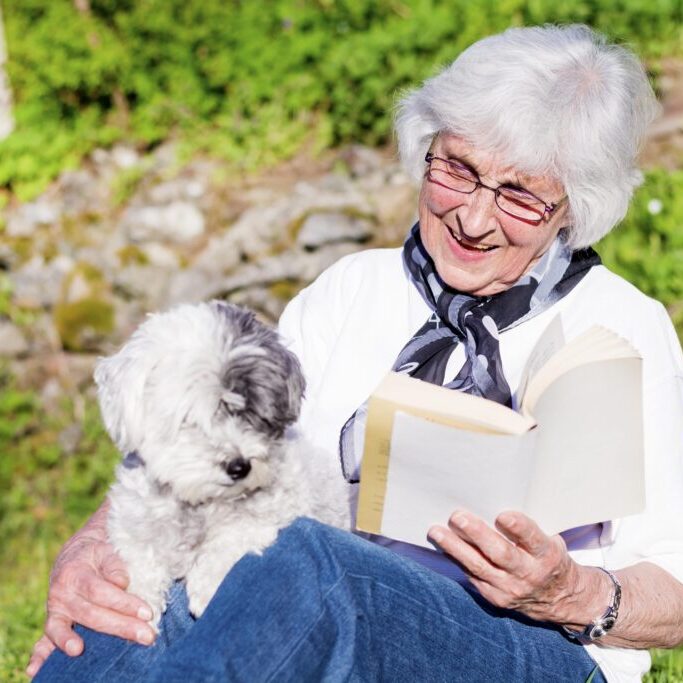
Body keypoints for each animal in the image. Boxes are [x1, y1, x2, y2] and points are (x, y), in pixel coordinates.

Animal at [96, 302, 350, 628]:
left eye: (251, 413)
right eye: (190, 418)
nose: (239, 467)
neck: (200, 503)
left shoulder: (277, 511)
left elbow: (230, 539)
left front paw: (207, 588)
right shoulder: (133, 520)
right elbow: (140, 558)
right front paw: (141, 603)